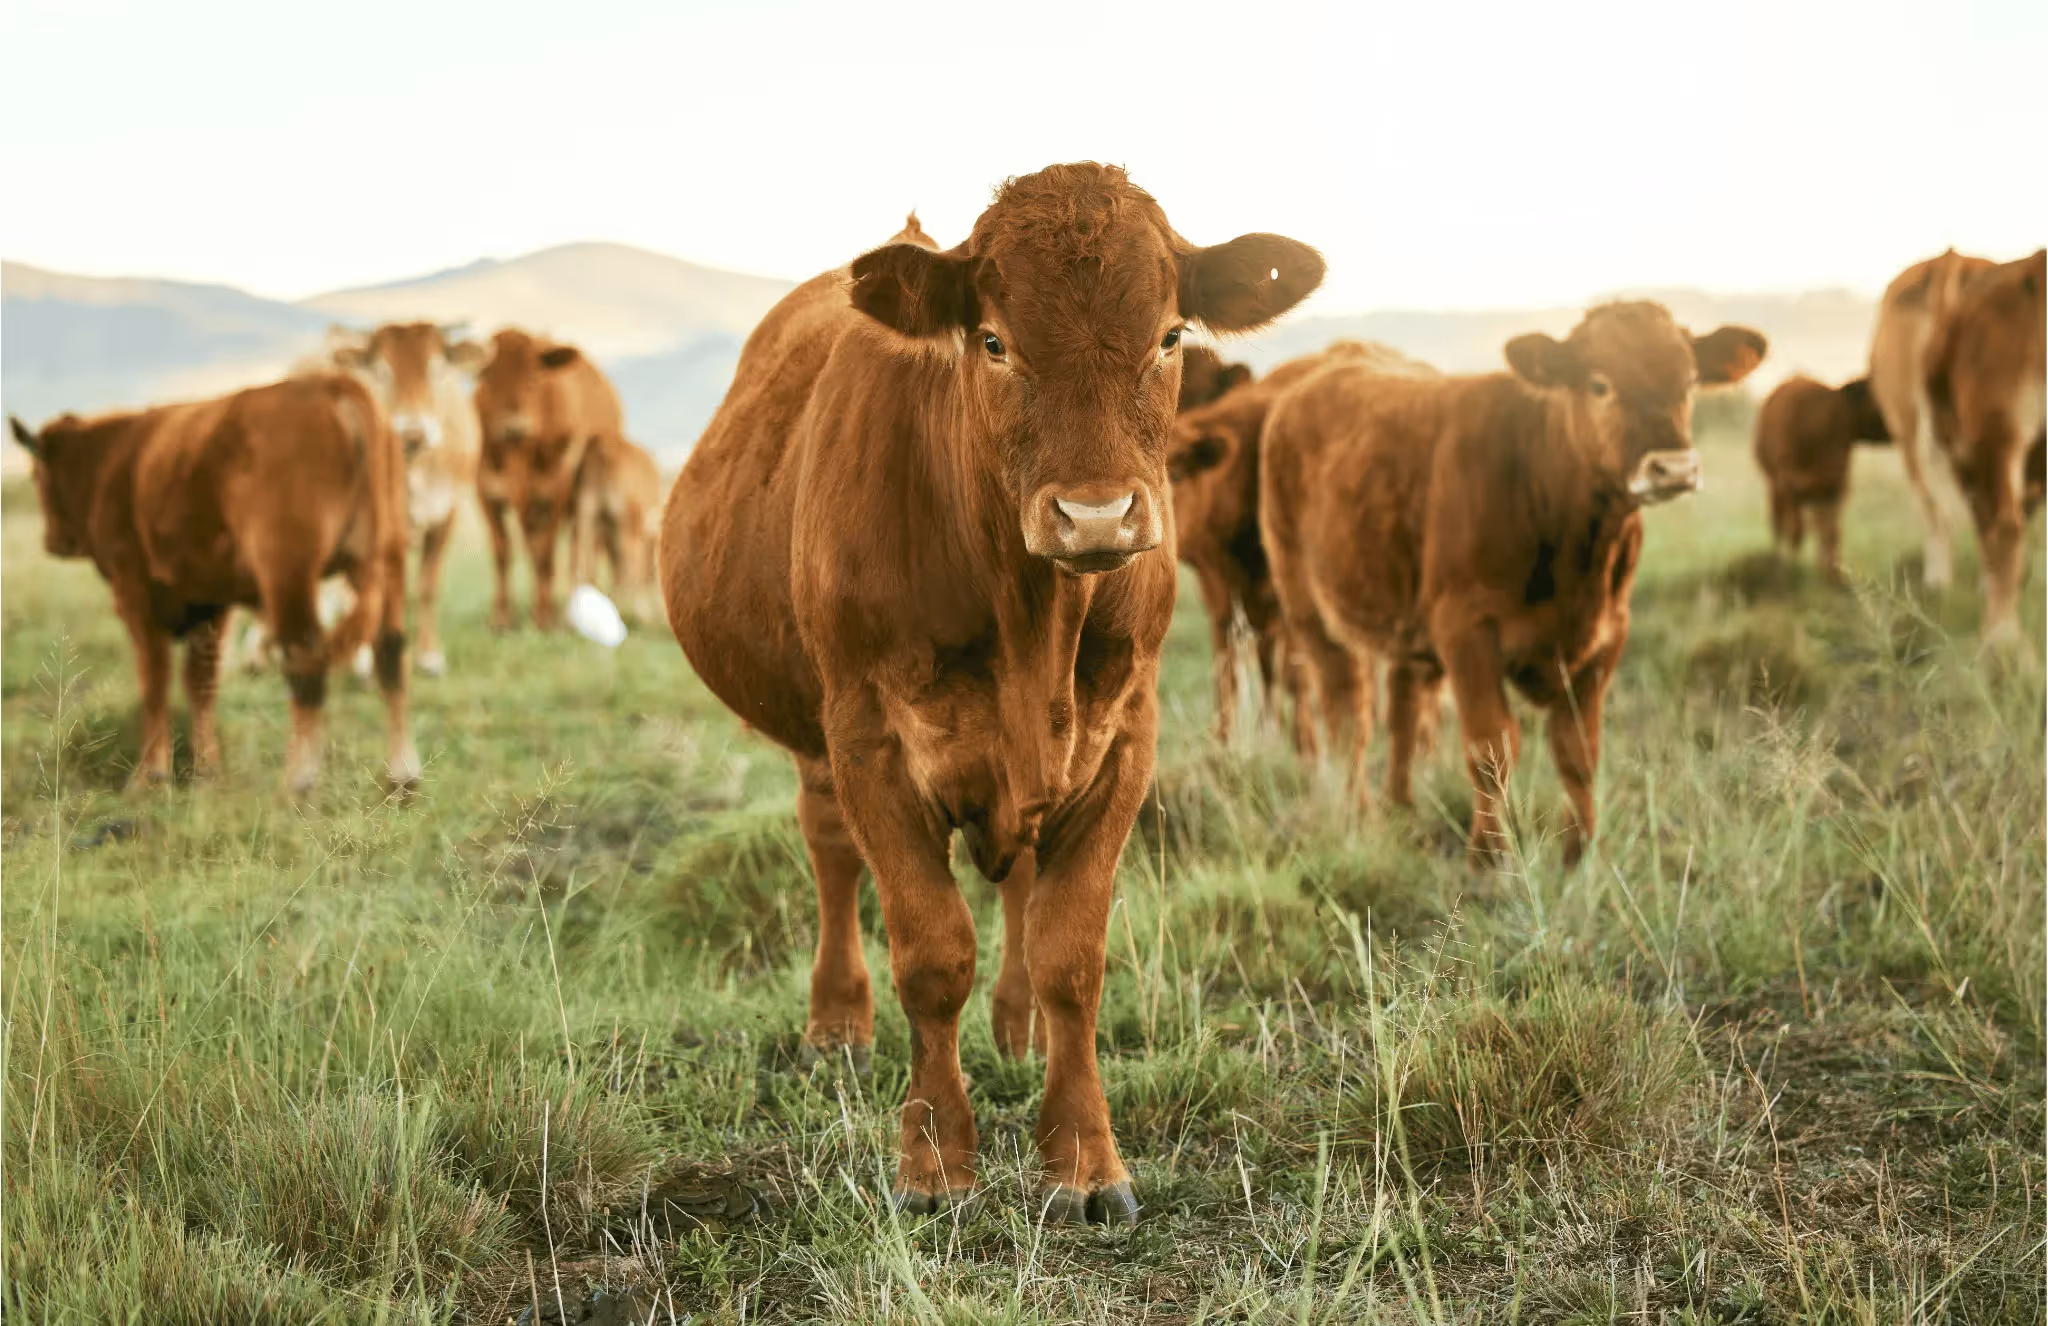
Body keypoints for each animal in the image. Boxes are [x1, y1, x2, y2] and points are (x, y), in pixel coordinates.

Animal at [8, 377, 418, 796]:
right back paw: (402, 777)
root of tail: (329, 384)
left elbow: (154, 679)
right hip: (389, 562)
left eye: (35, 475)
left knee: (306, 659)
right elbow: (200, 681)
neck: (109, 458)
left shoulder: (134, 590)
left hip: (288, 573)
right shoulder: (209, 600)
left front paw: (149, 776)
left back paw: (298, 784)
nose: (54, 541)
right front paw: (207, 770)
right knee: (389, 652)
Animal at [472, 329, 625, 631]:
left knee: (579, 551)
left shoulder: (555, 492)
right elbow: (502, 553)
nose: (515, 427)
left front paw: (543, 619)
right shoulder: (486, 492)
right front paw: (501, 618)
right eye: (489, 376)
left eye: (535, 376)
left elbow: (544, 553)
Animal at [660, 164, 1321, 1223]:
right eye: (994, 340)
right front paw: (934, 1164)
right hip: (815, 733)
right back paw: (837, 1025)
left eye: (1171, 335)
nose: (1097, 514)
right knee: (830, 850)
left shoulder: (1124, 740)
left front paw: (1086, 1160)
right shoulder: (870, 742)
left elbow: (1070, 955)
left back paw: (1020, 1031)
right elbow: (932, 954)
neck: (1030, 621)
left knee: (1017, 885)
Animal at [1260, 303, 1765, 865]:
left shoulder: (1606, 638)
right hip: (1309, 609)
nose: (1672, 467)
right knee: (1348, 713)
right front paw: (1489, 857)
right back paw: (1359, 816)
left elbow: (1578, 750)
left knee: (1402, 709)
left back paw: (1401, 807)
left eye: (1690, 379)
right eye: (1599, 384)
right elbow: (1491, 748)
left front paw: (1580, 855)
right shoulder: (1466, 631)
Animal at [1752, 374, 1891, 582]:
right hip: (1777, 488)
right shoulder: (1788, 484)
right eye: (1877, 392)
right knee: (1780, 525)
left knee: (1818, 527)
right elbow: (1795, 531)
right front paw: (1789, 575)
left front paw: (1833, 577)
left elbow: (1832, 532)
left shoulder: (1836, 486)